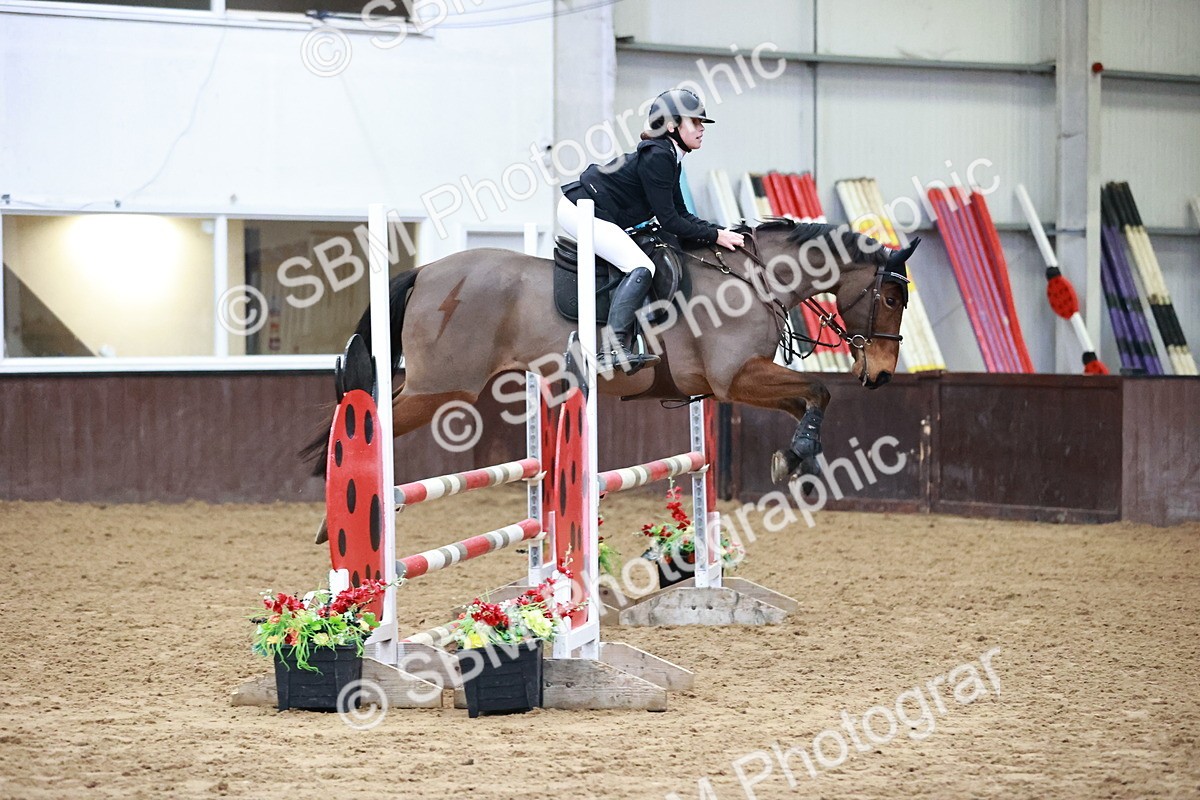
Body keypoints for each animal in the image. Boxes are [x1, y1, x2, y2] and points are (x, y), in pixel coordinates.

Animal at [303, 220, 917, 515]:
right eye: (891, 298)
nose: (882, 374)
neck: (752, 277)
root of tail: (428, 272)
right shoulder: (736, 376)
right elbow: (819, 391)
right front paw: (799, 456)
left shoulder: (740, 381)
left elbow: (810, 399)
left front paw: (797, 458)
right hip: (440, 388)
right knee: (367, 418)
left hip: (430, 383)